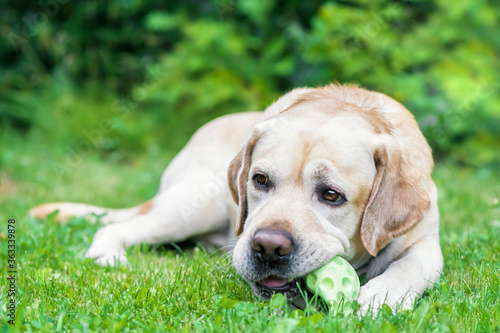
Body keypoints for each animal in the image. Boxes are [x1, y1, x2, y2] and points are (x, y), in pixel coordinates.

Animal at [31, 83, 444, 312]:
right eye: (260, 180)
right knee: (119, 227)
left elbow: (411, 266)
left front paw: (381, 295)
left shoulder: (426, 241)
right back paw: (108, 255)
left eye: (331, 195)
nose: (269, 247)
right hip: (191, 206)